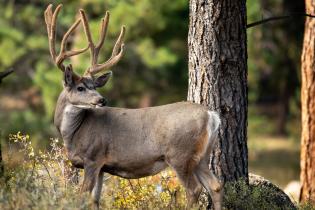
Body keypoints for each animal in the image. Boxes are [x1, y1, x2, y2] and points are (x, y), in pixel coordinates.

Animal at [45, 4, 225, 209]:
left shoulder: (92, 157)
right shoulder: (101, 166)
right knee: (216, 186)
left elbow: (81, 196)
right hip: (201, 156)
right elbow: (94, 200)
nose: (102, 100)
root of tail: (211, 115)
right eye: (81, 87)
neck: (74, 133)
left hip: (180, 154)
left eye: (93, 87)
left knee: (194, 189)